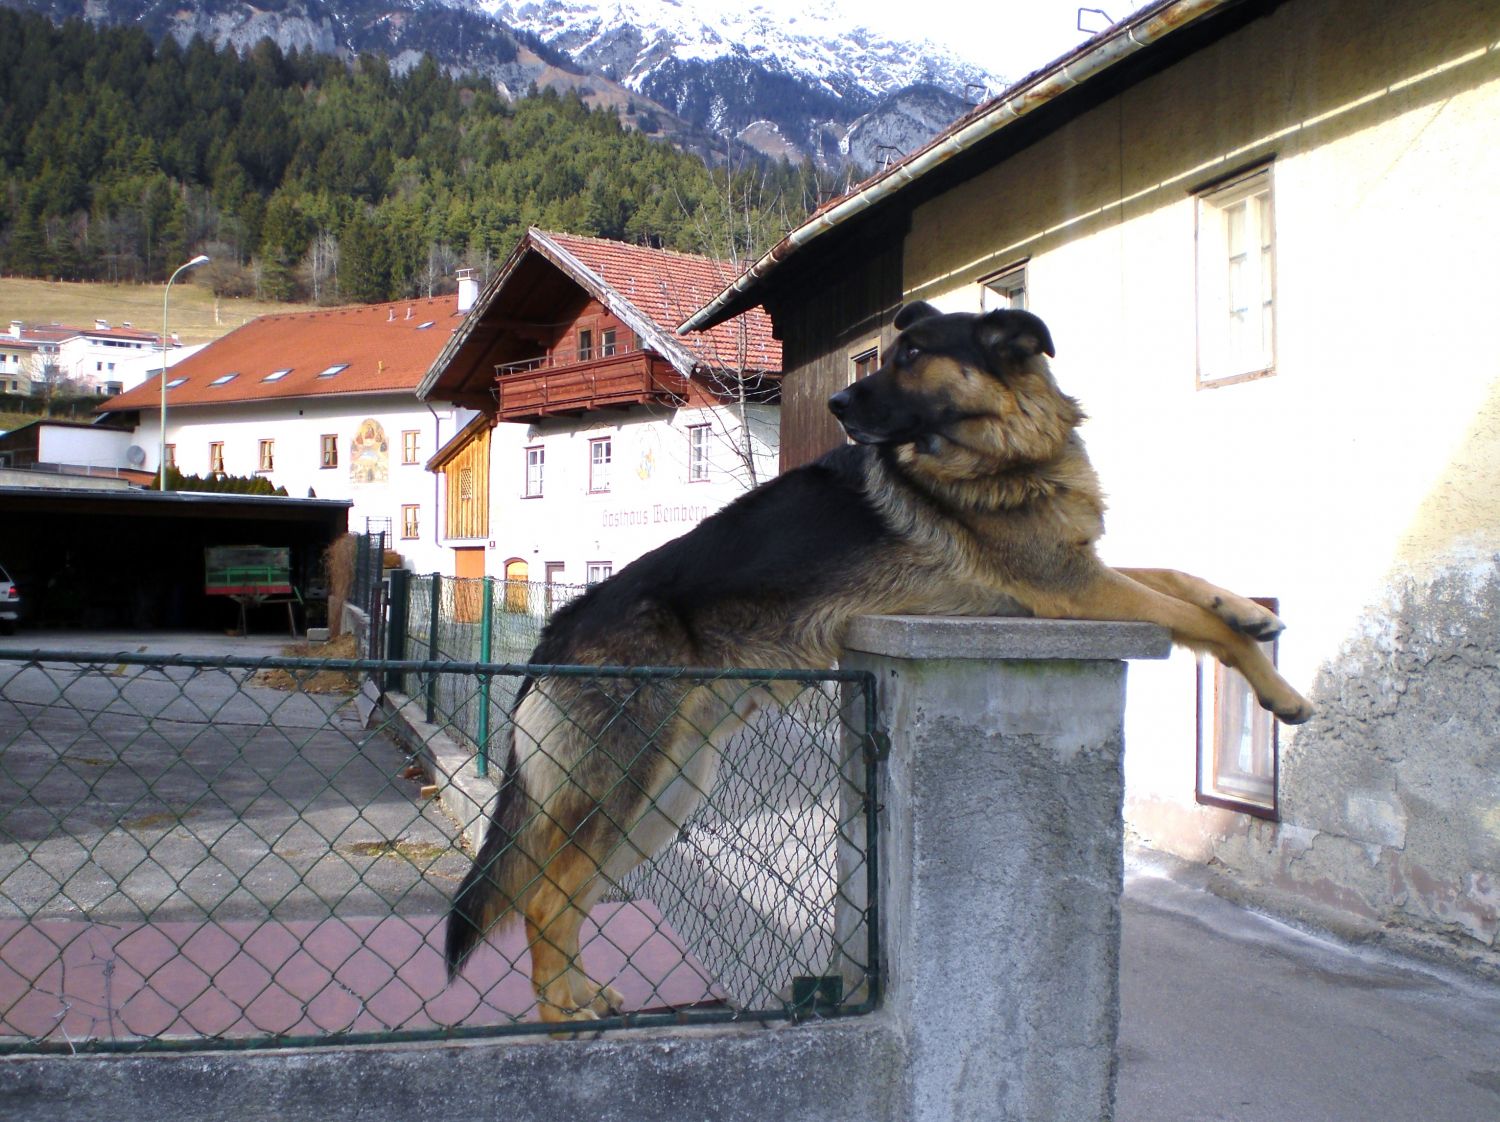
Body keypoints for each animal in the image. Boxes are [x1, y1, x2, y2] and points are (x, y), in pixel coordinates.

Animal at [444, 303, 1314, 1020]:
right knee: (545, 900)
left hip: (664, 796)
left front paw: (1248, 611)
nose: (836, 405)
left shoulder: (1079, 572)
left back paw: (582, 996)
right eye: (892, 354)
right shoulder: (1067, 587)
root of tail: (558, 629)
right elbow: (1186, 615)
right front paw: (1281, 692)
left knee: (564, 895)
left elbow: (1180, 581)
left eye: (916, 356)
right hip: (623, 788)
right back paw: (564, 1013)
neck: (1007, 447)